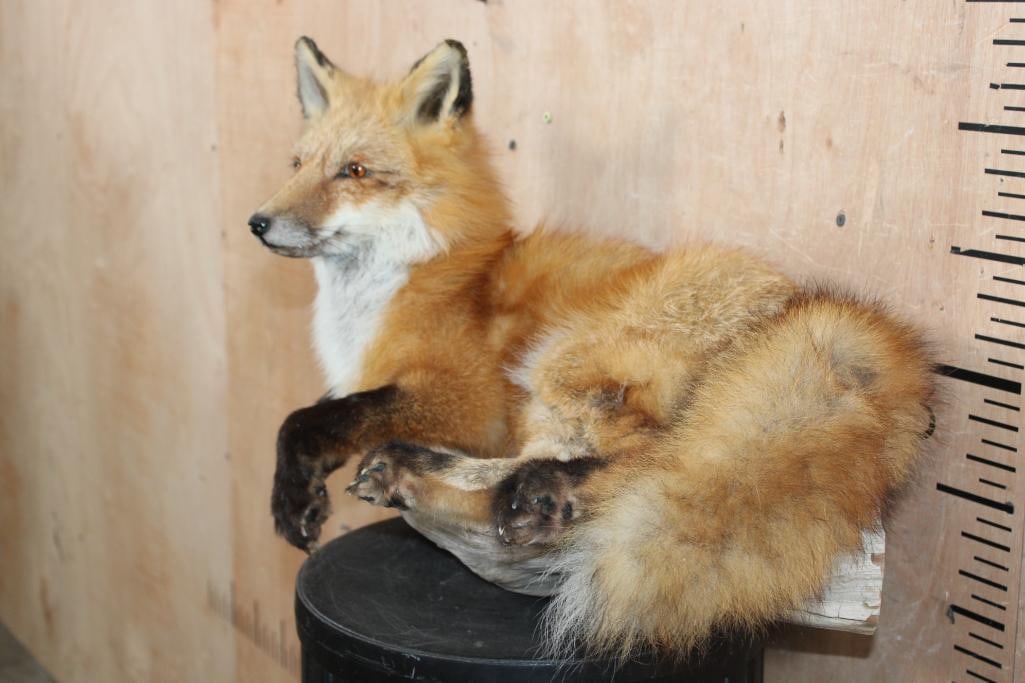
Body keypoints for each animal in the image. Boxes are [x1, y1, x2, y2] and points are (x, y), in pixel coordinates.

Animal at [249, 36, 936, 657]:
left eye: (354, 171)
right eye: (298, 164)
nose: (258, 222)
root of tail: (819, 316)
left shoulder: (467, 401)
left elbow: (314, 416)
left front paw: (292, 493)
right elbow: (334, 409)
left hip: (562, 361)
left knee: (644, 461)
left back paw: (525, 492)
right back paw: (427, 475)